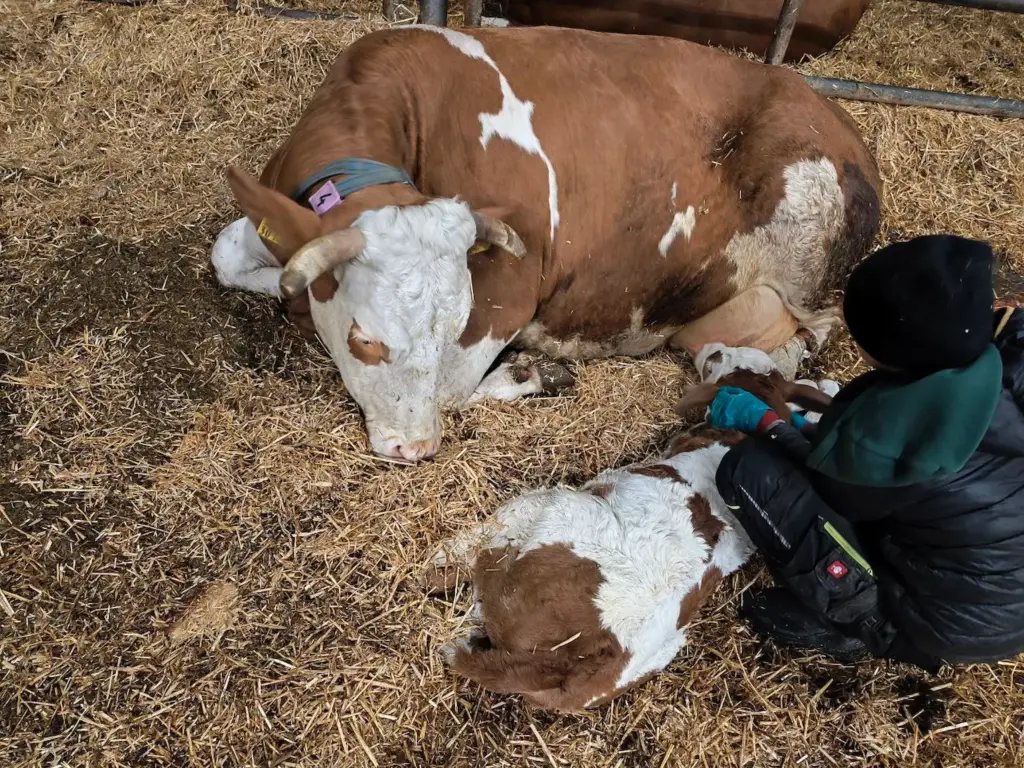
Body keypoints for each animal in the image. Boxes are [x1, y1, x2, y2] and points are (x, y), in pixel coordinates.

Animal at [211, 25, 880, 462]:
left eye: (454, 320)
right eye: (364, 340)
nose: (415, 448)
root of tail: (834, 115)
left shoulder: (508, 285)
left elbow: (450, 388)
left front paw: (530, 371)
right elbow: (226, 256)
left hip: (810, 263)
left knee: (808, 340)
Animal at [429, 345, 837, 711]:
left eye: (720, 363)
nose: (712, 348)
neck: (733, 439)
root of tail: (563, 662)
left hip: (541, 511)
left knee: (464, 562)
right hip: (662, 651)